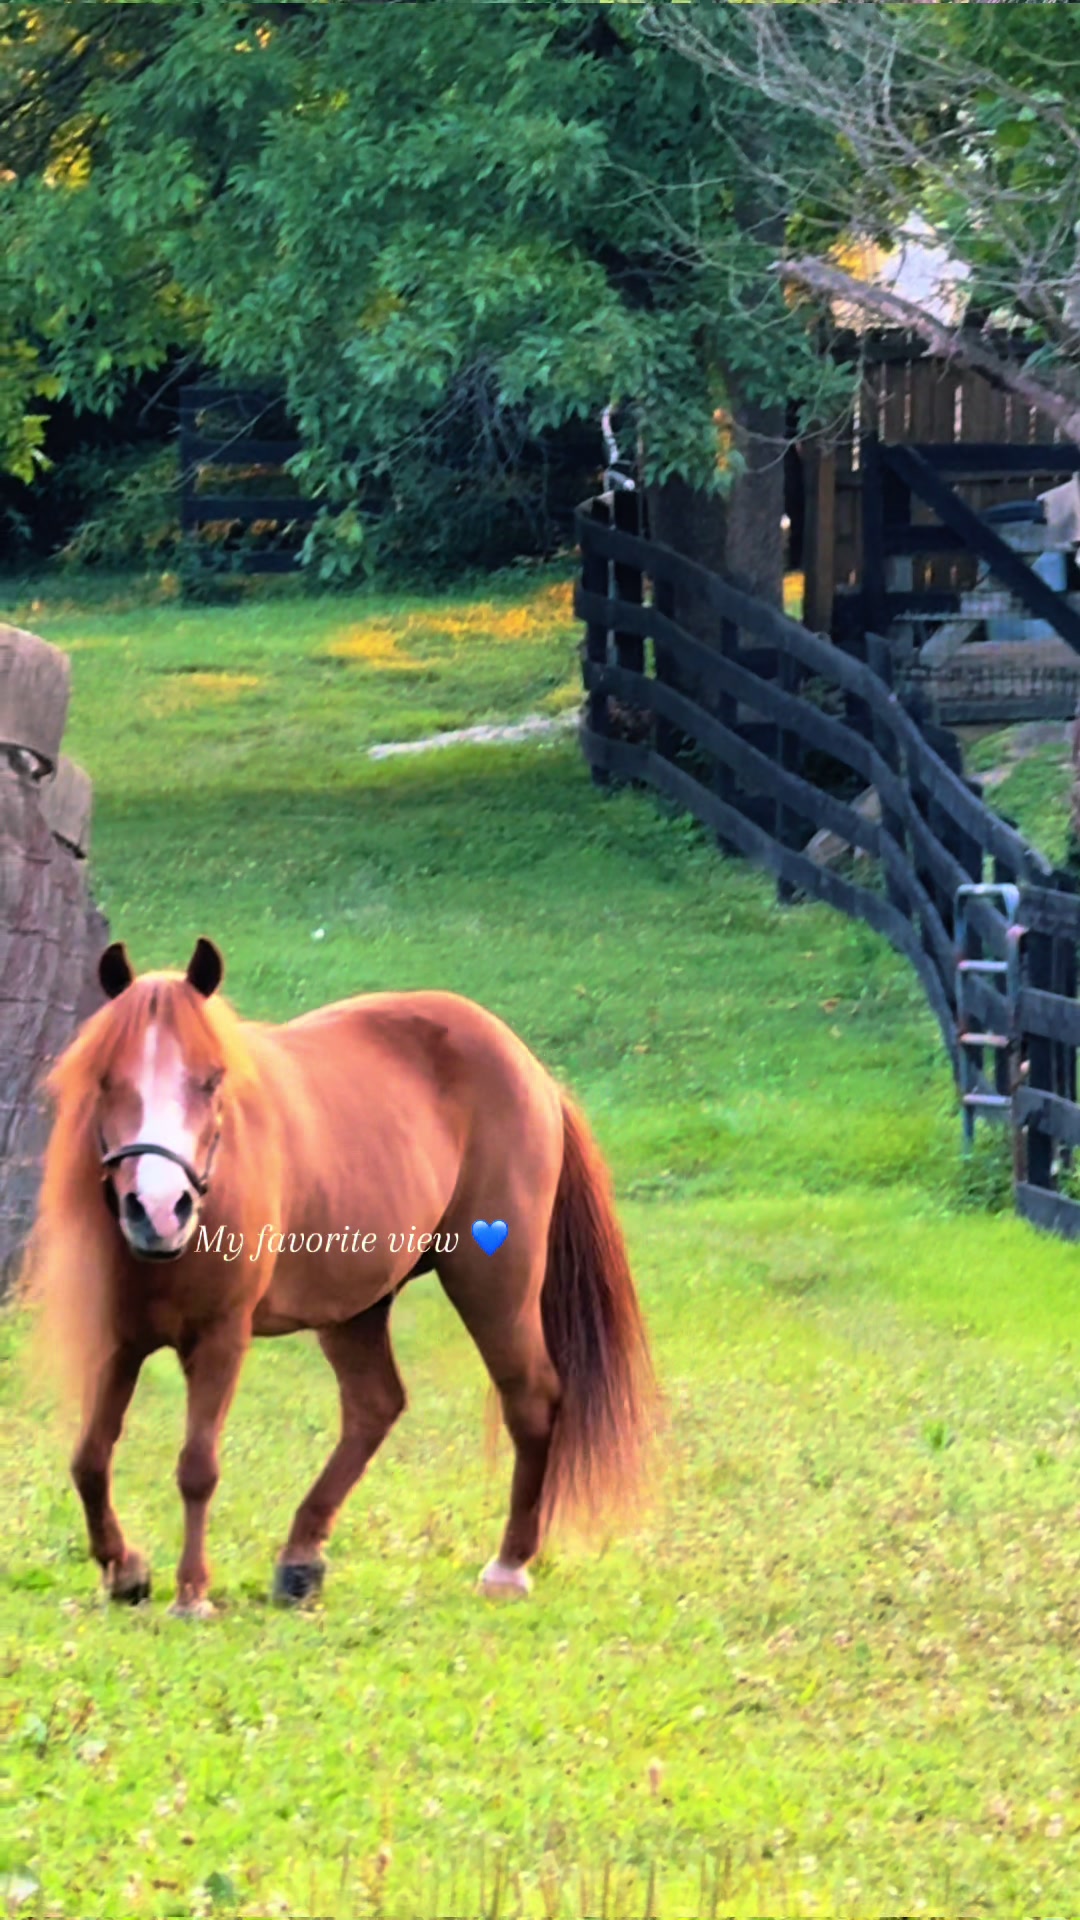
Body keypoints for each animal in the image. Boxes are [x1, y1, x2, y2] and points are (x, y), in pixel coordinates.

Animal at [28, 938, 655, 1616]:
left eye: (212, 1079)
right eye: (107, 1080)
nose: (159, 1208)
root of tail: (533, 1070)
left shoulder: (222, 1338)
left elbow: (197, 1466)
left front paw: (191, 1592)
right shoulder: (118, 1340)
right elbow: (89, 1458)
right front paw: (125, 1571)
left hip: (495, 1285)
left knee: (531, 1399)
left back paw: (508, 1566)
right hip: (356, 1307)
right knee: (374, 1405)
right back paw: (301, 1559)